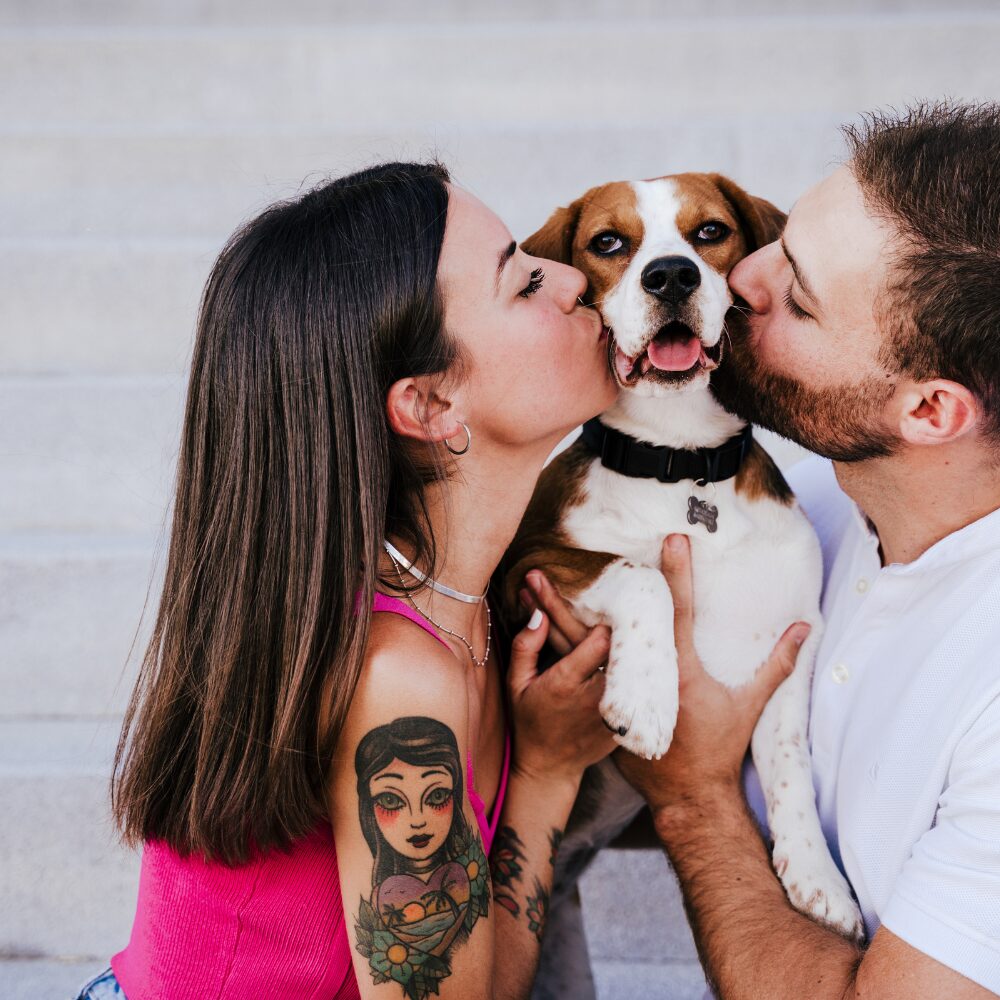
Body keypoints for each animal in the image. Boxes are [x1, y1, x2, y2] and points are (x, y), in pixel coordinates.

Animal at [504, 174, 864, 1000]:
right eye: (608, 242)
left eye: (709, 232)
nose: (672, 276)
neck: (682, 465)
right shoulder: (525, 568)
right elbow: (641, 575)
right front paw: (645, 696)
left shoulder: (792, 637)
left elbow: (790, 762)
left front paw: (816, 876)